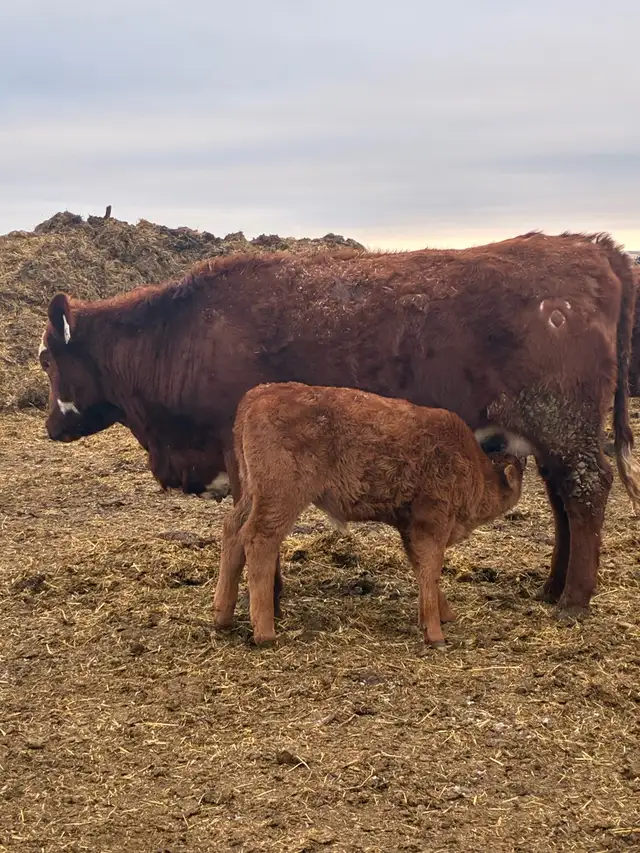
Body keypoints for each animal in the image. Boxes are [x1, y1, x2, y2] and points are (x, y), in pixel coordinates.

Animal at [38, 230, 640, 619]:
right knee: (564, 501)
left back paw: (573, 600)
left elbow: (253, 522)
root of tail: (590, 248)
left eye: (46, 359)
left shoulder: (238, 451)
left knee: (586, 493)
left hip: (565, 427)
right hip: (552, 436)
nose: (50, 428)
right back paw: (552, 587)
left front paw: (268, 596)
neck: (182, 336)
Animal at [214, 382, 527, 648]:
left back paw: (222, 616)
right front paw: (435, 633)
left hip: (252, 493)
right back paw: (265, 633)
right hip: (281, 497)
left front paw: (443, 615)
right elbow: (431, 571)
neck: (475, 468)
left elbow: (422, 568)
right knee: (259, 539)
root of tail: (259, 394)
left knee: (233, 529)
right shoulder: (431, 523)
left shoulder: (409, 528)